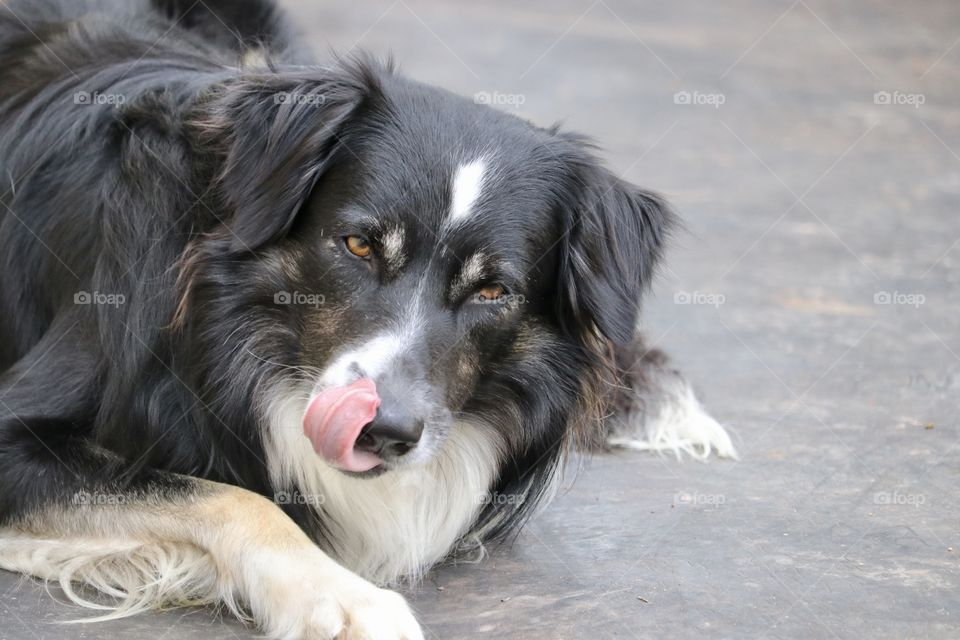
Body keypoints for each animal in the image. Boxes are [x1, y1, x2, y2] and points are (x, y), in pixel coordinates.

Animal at [0, 2, 736, 636]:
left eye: (494, 290)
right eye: (358, 245)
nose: (384, 432)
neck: (216, 327)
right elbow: (234, 497)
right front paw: (342, 602)